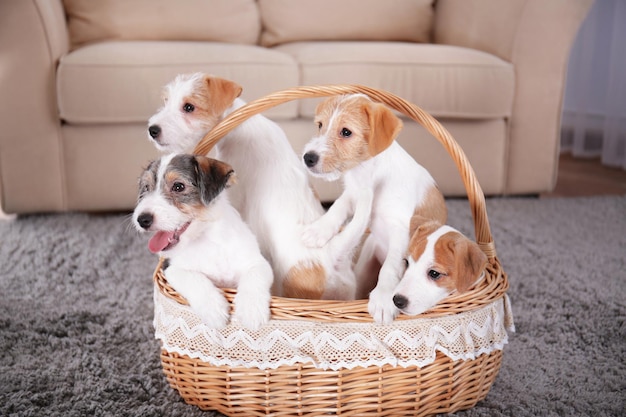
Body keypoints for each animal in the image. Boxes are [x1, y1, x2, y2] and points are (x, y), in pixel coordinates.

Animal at [132, 151, 270, 330]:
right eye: (146, 188)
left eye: (178, 186)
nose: (142, 219)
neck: (206, 240)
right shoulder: (170, 269)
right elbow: (194, 279)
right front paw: (214, 309)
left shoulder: (258, 263)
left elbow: (254, 277)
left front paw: (252, 309)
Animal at [300, 95, 446, 324]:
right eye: (320, 125)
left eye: (346, 132)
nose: (308, 157)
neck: (368, 173)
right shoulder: (353, 194)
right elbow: (337, 207)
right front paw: (318, 230)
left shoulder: (400, 229)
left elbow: (390, 266)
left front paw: (384, 298)